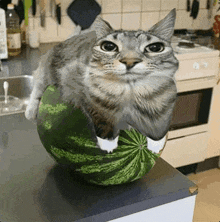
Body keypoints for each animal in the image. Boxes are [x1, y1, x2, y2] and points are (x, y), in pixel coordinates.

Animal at [24, 9, 179, 153]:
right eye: (109, 47)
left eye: (154, 48)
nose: (129, 61)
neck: (130, 92)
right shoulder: (80, 87)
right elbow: (101, 115)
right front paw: (108, 143)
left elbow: (159, 124)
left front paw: (156, 144)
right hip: (48, 68)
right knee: (37, 84)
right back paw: (31, 110)